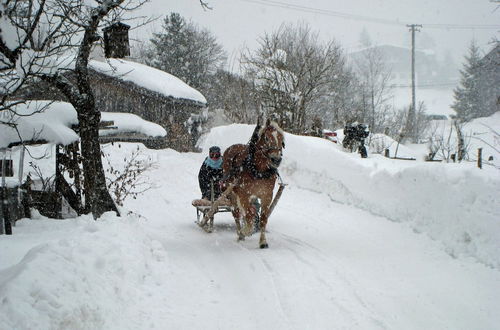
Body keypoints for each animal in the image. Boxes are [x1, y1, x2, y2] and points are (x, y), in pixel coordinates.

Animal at [223, 117, 286, 249]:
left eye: (281, 140)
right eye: (266, 138)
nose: (276, 159)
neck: (258, 170)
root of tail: (231, 148)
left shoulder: (267, 195)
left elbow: (263, 218)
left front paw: (263, 242)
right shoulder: (243, 193)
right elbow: (248, 214)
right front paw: (246, 230)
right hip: (231, 191)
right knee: (236, 213)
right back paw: (240, 234)